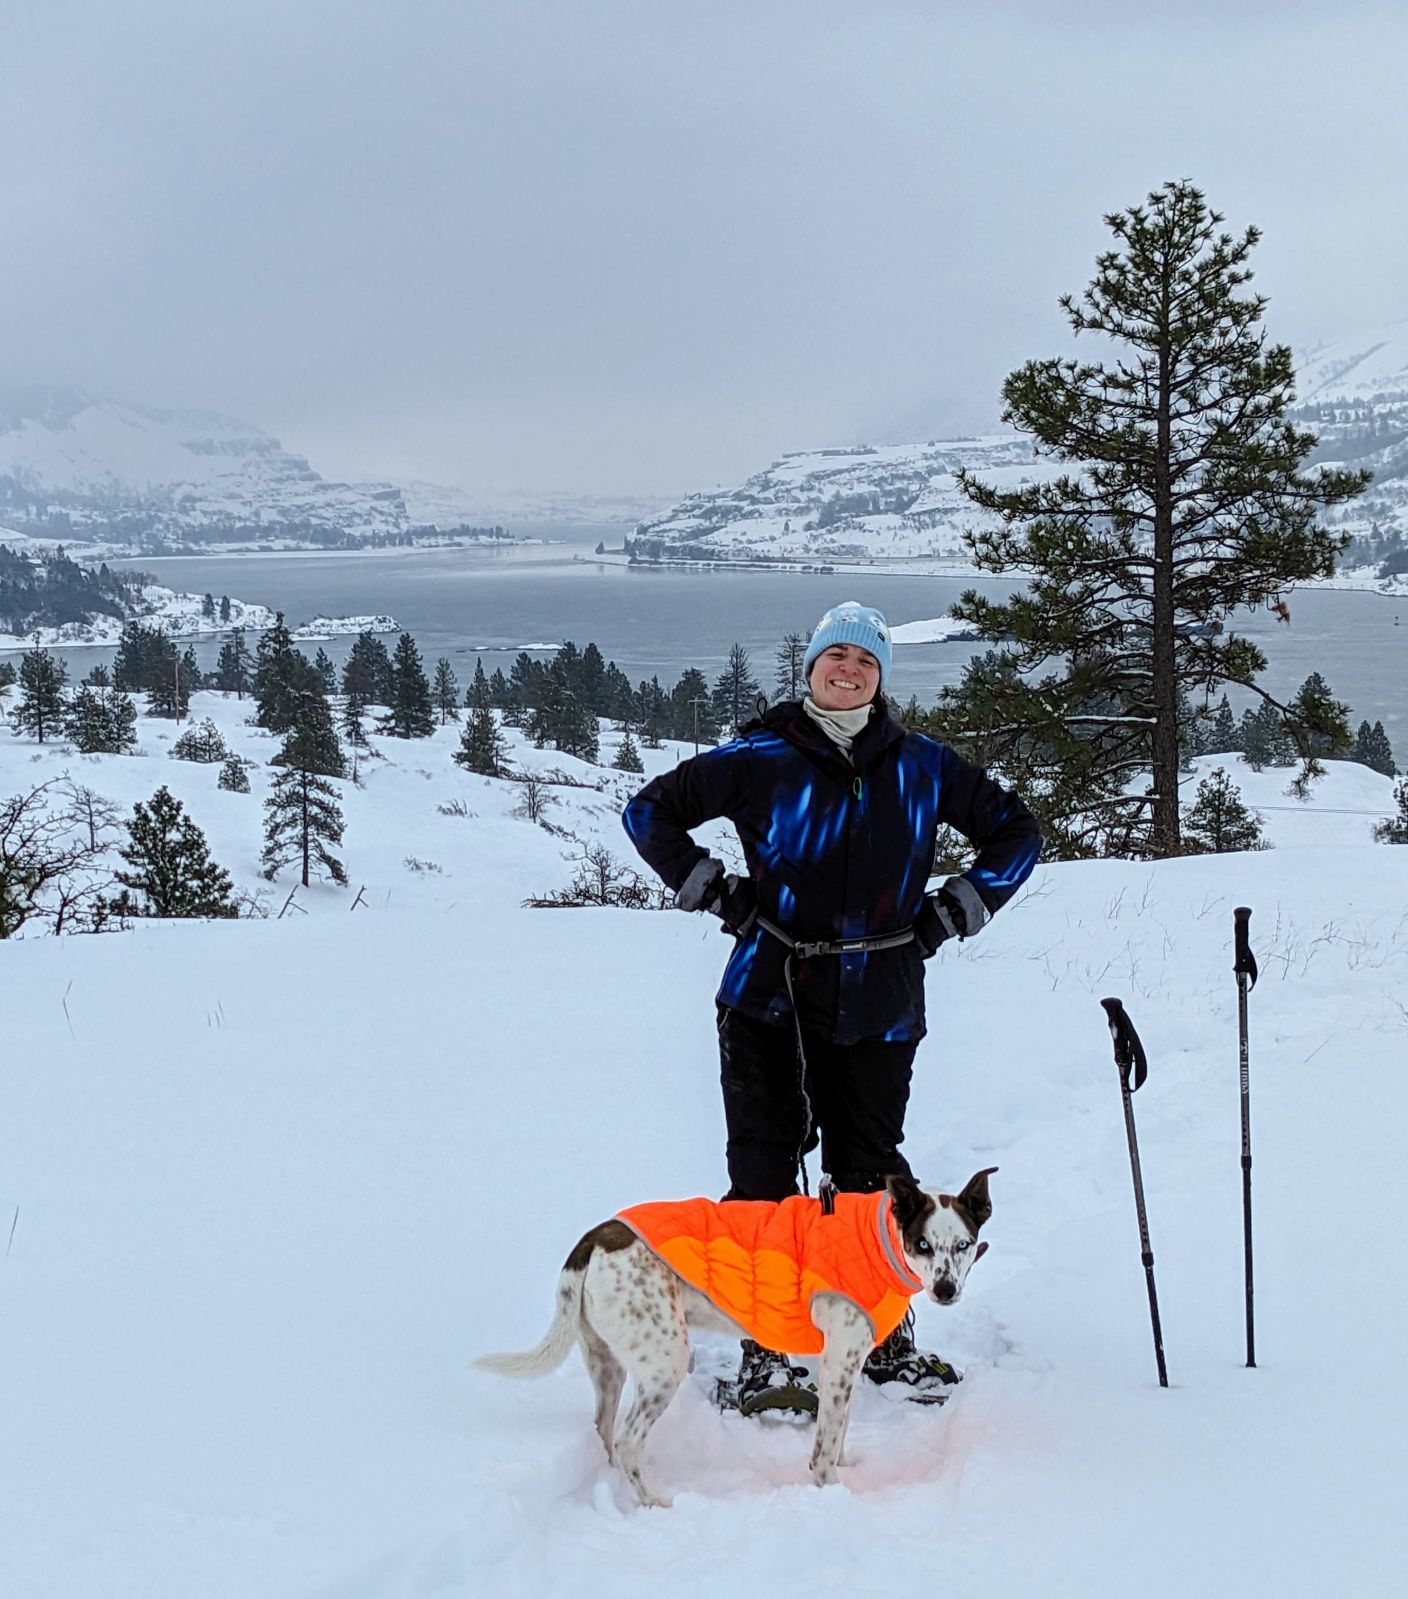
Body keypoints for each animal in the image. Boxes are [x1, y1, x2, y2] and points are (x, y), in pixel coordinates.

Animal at [473, 1170, 990, 1503]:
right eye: (923, 1245)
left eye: (963, 1246)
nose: (945, 1289)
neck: (878, 1235)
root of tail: (593, 1239)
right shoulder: (841, 1357)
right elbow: (824, 1445)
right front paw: (831, 1493)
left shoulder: (844, 1361)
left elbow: (837, 1431)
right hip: (665, 1360)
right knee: (627, 1440)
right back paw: (654, 1503)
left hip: (607, 1363)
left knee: (603, 1429)